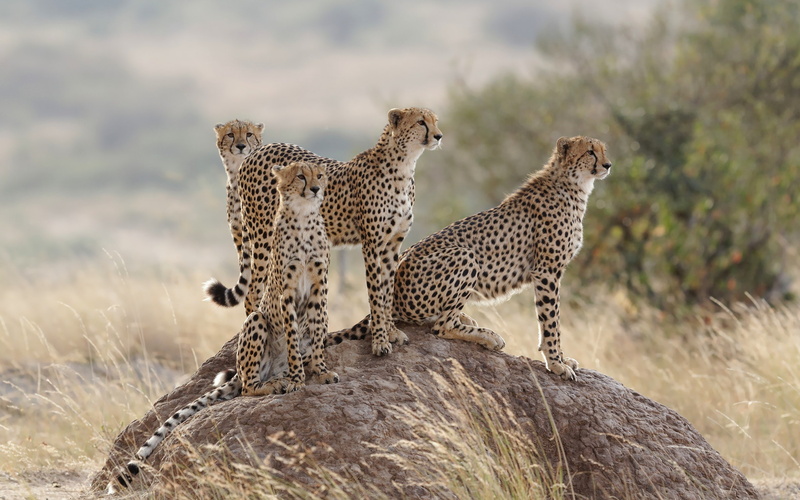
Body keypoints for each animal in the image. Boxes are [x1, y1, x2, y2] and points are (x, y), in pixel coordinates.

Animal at [110, 161, 336, 493]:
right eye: (300, 177)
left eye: (319, 175)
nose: (317, 188)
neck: (304, 217)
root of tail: (242, 373)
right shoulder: (286, 293)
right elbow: (293, 339)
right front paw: (298, 379)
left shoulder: (320, 286)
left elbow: (318, 333)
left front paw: (320, 371)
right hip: (256, 323)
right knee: (248, 387)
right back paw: (275, 383)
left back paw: (285, 377)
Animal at [329, 136, 612, 381]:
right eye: (590, 152)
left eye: (603, 150)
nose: (608, 164)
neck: (573, 185)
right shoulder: (547, 271)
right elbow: (551, 321)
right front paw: (556, 364)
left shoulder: (549, 272)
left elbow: (550, 320)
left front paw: (561, 359)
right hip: (465, 256)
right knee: (441, 326)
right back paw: (488, 335)